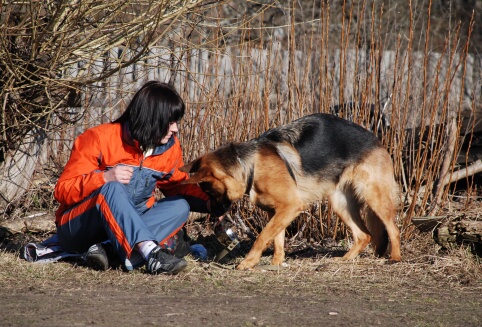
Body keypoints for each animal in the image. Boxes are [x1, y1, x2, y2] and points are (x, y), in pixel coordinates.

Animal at [179, 114, 402, 270]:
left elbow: (262, 236)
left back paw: (395, 258)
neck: (250, 165)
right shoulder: (276, 211)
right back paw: (344, 260)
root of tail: (377, 141)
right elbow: (277, 239)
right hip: (340, 204)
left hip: (374, 198)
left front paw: (249, 262)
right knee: (363, 235)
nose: (216, 214)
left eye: (210, 191)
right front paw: (276, 263)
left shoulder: (290, 207)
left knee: (393, 229)